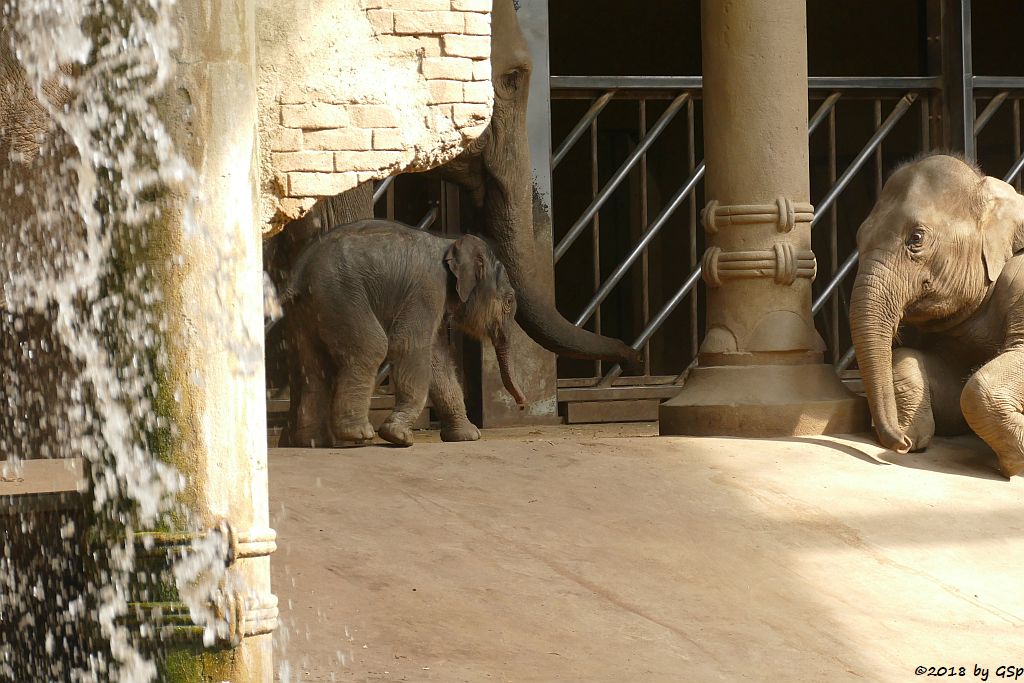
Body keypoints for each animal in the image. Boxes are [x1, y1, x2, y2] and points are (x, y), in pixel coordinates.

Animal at [280, 219, 524, 448]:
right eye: (509, 301)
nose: (522, 404)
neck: (449, 242)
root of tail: (298, 273)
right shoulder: (427, 288)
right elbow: (408, 345)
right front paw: (399, 437)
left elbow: (437, 361)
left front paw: (467, 436)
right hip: (340, 296)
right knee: (372, 346)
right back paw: (358, 434)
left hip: (306, 311)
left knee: (313, 366)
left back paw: (312, 442)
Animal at [847, 153, 1024, 475]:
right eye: (859, 239)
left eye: (916, 238)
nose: (900, 443)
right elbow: (944, 385)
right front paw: (914, 435)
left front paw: (1016, 462)